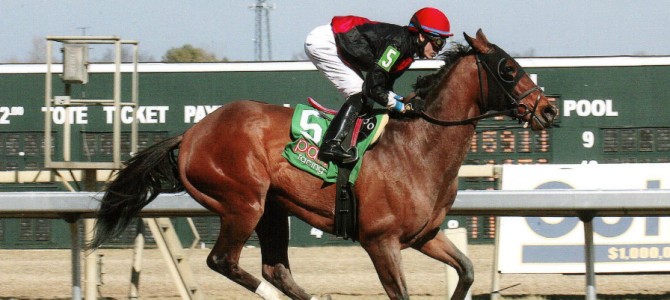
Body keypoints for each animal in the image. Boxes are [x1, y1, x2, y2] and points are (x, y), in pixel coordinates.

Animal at [92, 29, 560, 298]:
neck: (417, 149)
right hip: (243, 203)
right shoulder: (380, 241)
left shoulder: (424, 236)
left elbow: (466, 270)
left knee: (275, 269)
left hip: (273, 210)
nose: (549, 109)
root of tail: (192, 134)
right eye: (508, 67)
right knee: (224, 262)